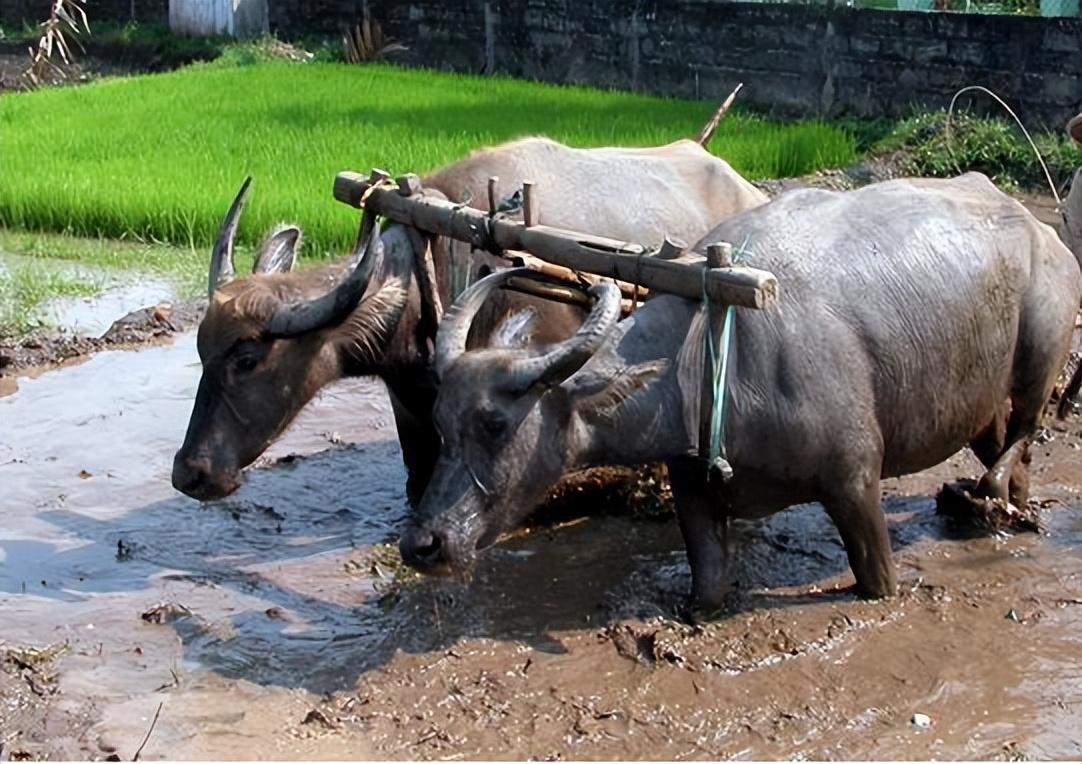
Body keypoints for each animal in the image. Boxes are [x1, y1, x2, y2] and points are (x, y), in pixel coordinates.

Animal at [400, 170, 1082, 606]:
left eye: (495, 424)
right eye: (439, 423)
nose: (423, 545)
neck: (708, 354)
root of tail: (1041, 231)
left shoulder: (855, 482)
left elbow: (877, 579)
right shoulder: (694, 490)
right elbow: (706, 582)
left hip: (1040, 355)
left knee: (1025, 429)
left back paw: (987, 493)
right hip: (982, 399)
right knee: (1009, 449)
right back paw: (1007, 512)